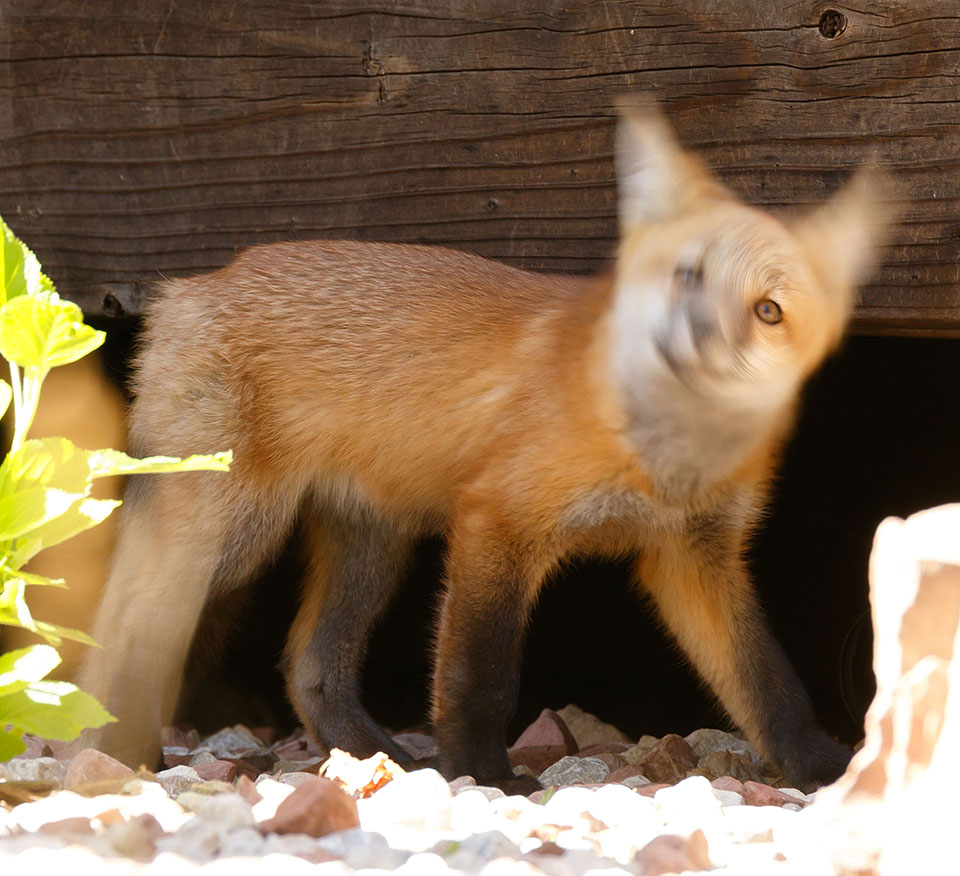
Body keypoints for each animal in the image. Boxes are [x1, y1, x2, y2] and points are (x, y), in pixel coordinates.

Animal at [79, 102, 888, 792]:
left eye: (768, 311)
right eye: (686, 274)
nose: (695, 334)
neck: (663, 460)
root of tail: (187, 288)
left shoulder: (695, 556)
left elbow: (768, 681)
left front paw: (821, 767)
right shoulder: (497, 520)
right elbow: (480, 676)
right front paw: (483, 775)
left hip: (371, 545)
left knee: (310, 667)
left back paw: (375, 758)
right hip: (232, 536)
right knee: (121, 628)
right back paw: (116, 751)